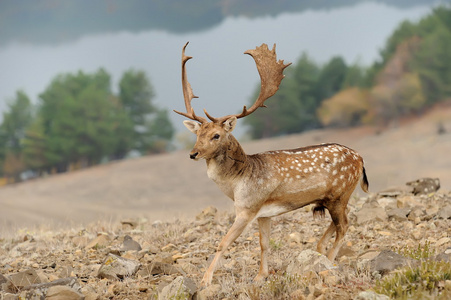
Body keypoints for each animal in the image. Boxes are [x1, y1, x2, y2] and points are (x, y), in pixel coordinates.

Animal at [175, 41, 370, 286]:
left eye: (216, 135)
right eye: (198, 134)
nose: (193, 153)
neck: (238, 182)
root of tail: (360, 159)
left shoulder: (247, 208)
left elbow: (223, 243)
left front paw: (205, 280)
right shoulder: (264, 213)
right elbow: (264, 244)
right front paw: (260, 276)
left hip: (340, 193)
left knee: (344, 225)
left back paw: (330, 260)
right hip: (332, 198)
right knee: (339, 223)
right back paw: (319, 249)